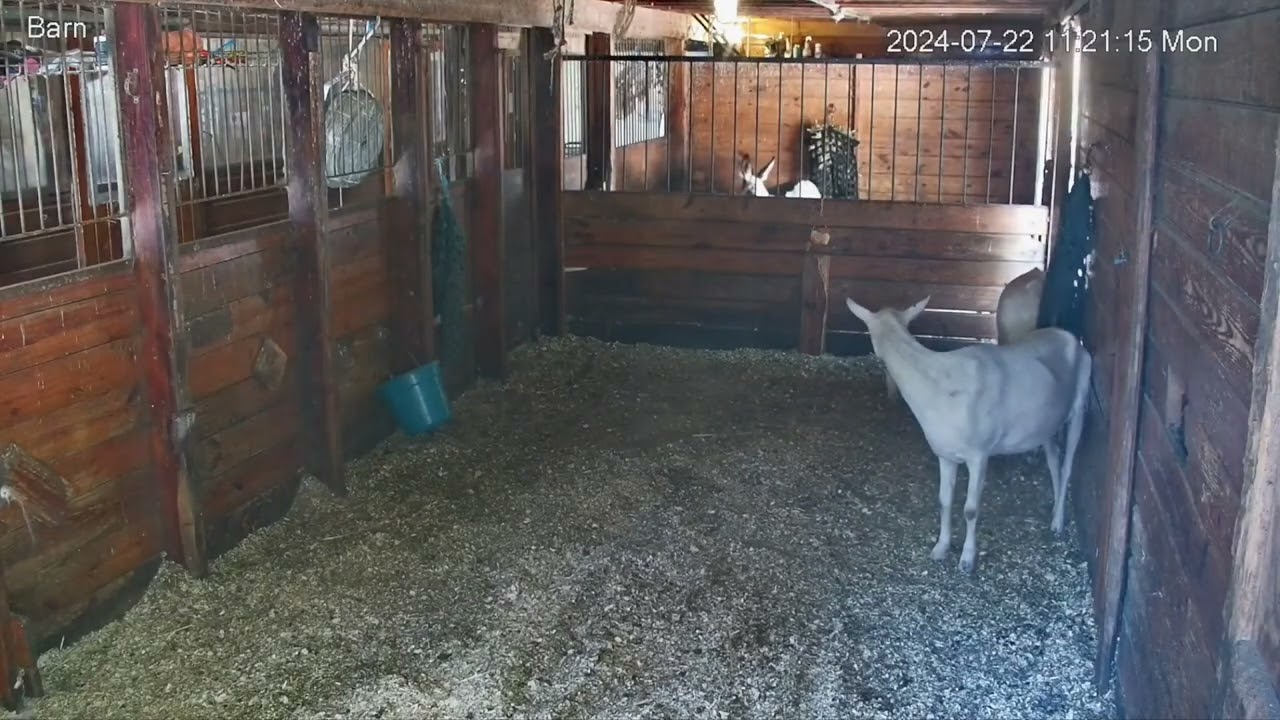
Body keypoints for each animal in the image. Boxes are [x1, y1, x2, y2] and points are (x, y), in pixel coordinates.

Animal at [845, 295, 1092, 573]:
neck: (939, 389)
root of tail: (1072, 338)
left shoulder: (979, 453)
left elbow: (970, 509)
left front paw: (966, 560)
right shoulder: (944, 453)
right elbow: (944, 500)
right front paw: (940, 548)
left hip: (1080, 402)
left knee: (1068, 464)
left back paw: (1058, 523)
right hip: (1045, 424)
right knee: (1053, 459)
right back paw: (1053, 512)